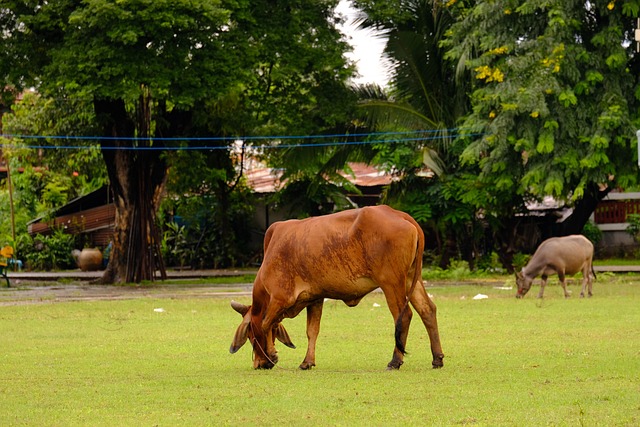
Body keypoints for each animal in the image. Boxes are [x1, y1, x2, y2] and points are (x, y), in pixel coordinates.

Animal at [230, 206, 444, 372]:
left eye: (250, 336)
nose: (259, 364)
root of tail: (401, 215)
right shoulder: (315, 298)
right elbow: (312, 331)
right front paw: (307, 362)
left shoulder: (280, 298)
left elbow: (266, 323)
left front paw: (272, 354)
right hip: (411, 280)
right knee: (427, 310)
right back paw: (437, 358)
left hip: (391, 283)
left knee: (404, 316)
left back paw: (395, 361)